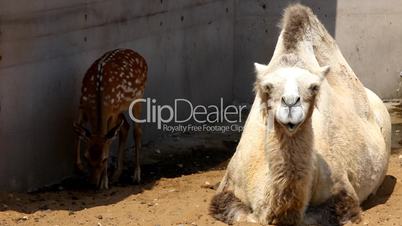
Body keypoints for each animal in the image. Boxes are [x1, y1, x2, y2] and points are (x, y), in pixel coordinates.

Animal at [73, 49, 147, 189]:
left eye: (105, 159)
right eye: (86, 157)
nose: (93, 183)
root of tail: (140, 56)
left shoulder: (111, 113)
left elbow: (108, 140)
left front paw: (104, 182)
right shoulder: (82, 104)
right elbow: (78, 130)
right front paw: (80, 168)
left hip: (138, 96)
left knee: (137, 131)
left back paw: (136, 176)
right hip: (120, 108)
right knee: (125, 127)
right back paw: (117, 174)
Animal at [209, 3, 392, 226]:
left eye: (314, 87)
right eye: (267, 86)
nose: (290, 104)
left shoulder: (343, 196)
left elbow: (310, 217)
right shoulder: (226, 190)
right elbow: (242, 215)